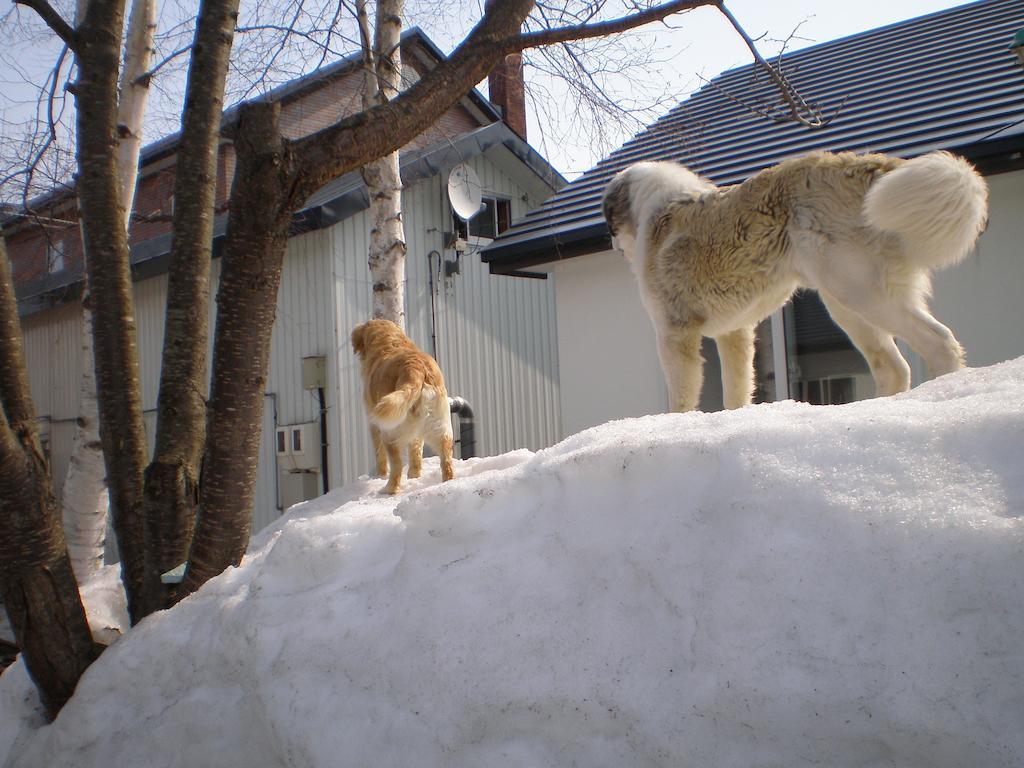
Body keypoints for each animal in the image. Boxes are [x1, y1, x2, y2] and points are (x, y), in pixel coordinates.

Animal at [350, 317, 454, 493]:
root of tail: (416, 368)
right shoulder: (417, 434)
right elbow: (416, 452)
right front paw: (414, 476)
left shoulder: (373, 424)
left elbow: (379, 454)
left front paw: (379, 475)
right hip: (440, 427)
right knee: (446, 458)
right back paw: (447, 482)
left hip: (390, 433)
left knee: (397, 465)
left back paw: (389, 489)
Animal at [602, 151, 987, 415]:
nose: (612, 243)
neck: (657, 212)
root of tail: (870, 167)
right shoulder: (735, 334)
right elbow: (737, 387)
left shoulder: (674, 334)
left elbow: (681, 394)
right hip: (846, 304)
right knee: (893, 366)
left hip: (860, 291)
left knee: (939, 342)